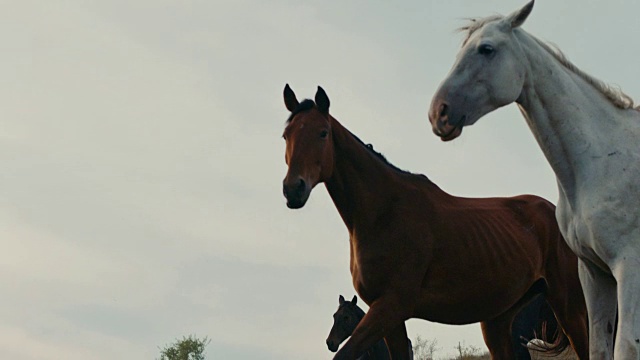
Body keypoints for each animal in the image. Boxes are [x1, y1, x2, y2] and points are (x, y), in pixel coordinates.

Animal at [282, 85, 588, 360]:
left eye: (323, 133)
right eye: (286, 135)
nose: (293, 188)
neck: (383, 213)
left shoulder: (391, 306)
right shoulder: (389, 316)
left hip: (569, 306)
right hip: (499, 320)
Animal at [428, 1, 640, 358]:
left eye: (486, 49)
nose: (438, 113)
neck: (599, 161)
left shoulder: (629, 268)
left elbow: (625, 346)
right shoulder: (594, 273)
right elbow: (599, 348)